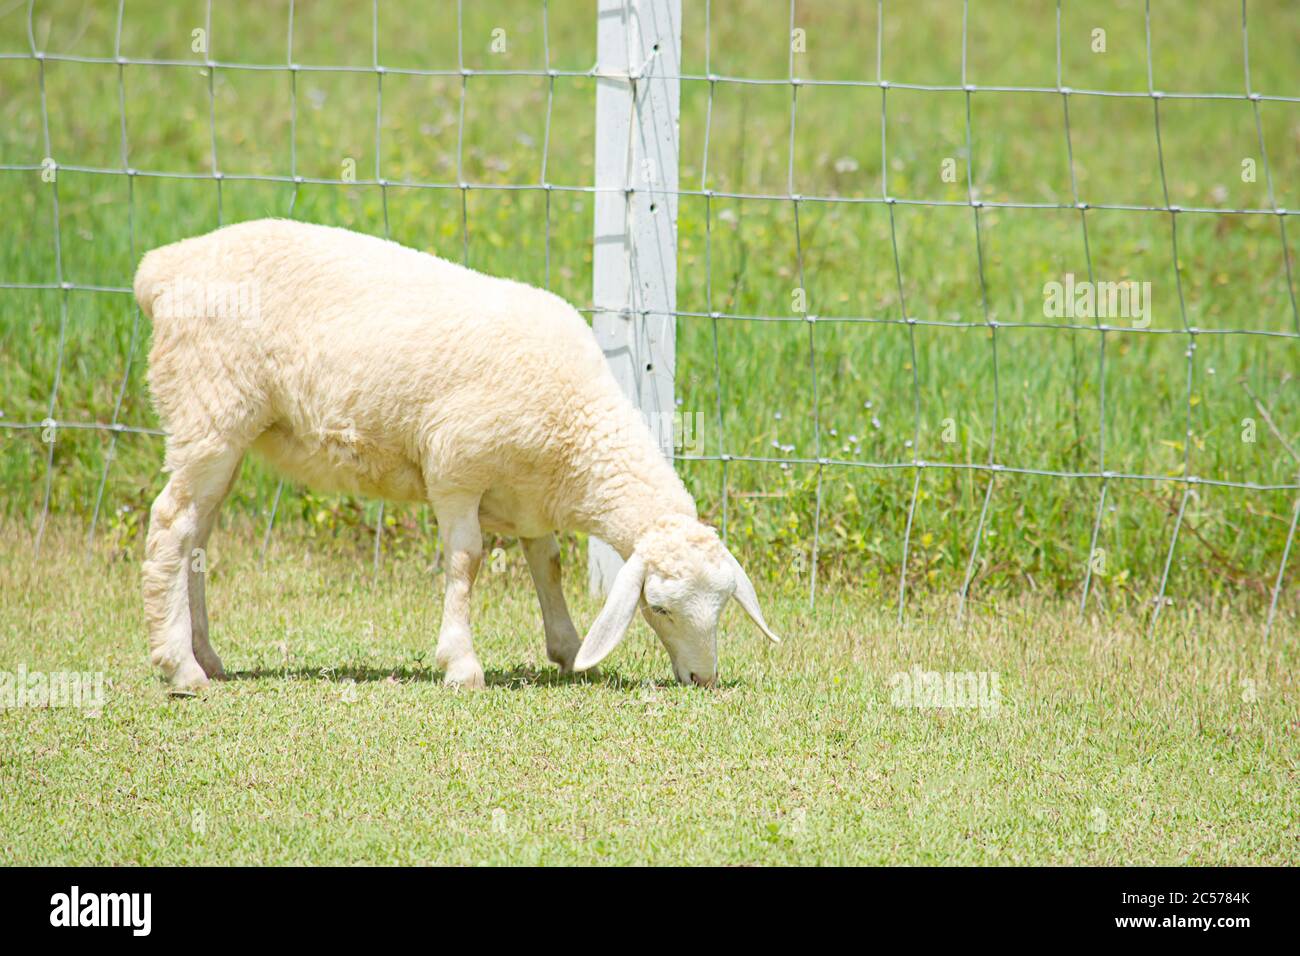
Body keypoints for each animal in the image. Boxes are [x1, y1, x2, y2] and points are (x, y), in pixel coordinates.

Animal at [135, 221, 774, 691]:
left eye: (722, 606)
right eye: (659, 609)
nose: (703, 678)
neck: (576, 428)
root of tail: (163, 269)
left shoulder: (531, 496)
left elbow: (548, 563)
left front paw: (567, 649)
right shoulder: (455, 470)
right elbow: (466, 561)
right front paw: (462, 665)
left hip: (224, 437)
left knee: (198, 536)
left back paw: (206, 655)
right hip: (208, 411)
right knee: (172, 525)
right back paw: (181, 669)